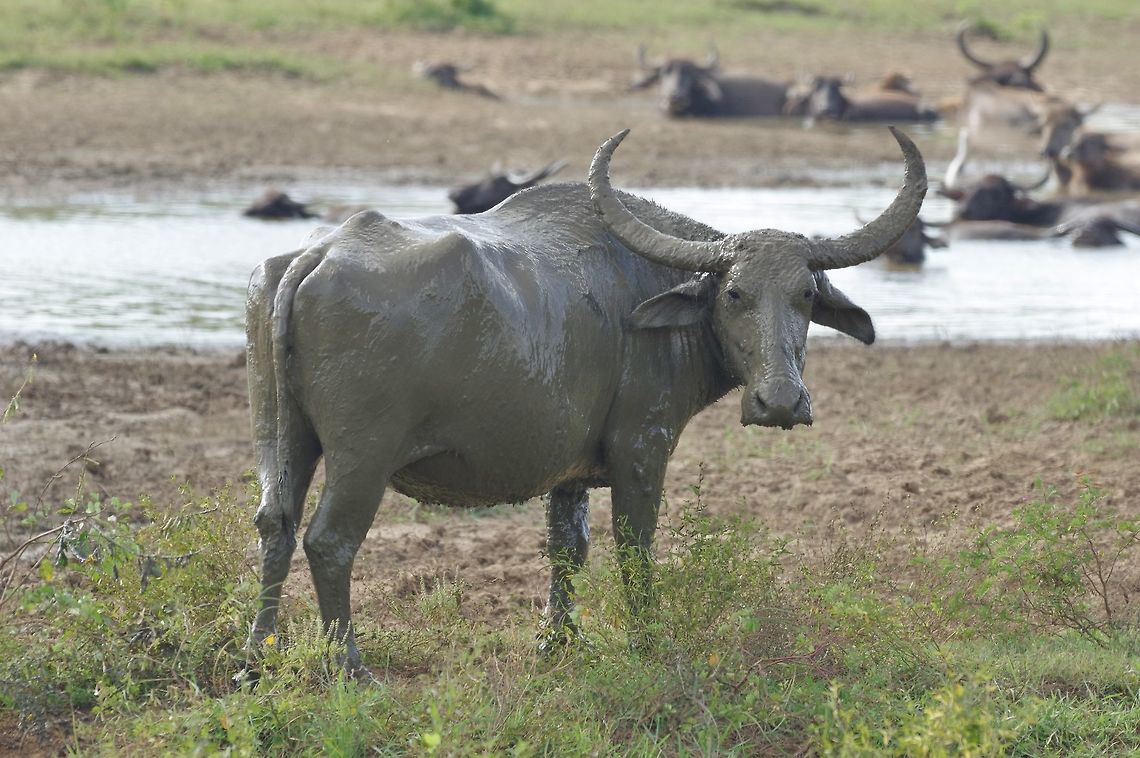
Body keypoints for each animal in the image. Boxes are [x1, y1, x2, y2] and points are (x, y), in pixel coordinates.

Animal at [245, 128, 927, 671]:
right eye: (734, 294)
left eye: (805, 295)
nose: (780, 402)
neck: (648, 290)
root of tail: (316, 254)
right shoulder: (641, 448)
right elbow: (634, 548)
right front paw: (649, 644)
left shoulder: (567, 472)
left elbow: (567, 551)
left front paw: (559, 643)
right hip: (362, 456)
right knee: (328, 541)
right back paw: (349, 666)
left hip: (281, 441)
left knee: (275, 527)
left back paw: (256, 662)